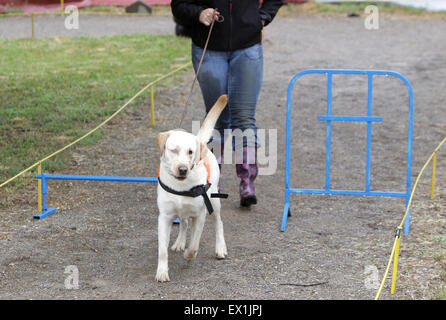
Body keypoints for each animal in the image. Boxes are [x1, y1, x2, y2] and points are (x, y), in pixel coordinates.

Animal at [155, 94, 228, 282]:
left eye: (190, 152)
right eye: (173, 150)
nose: (183, 169)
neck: (181, 185)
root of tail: (201, 141)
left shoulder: (200, 215)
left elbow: (194, 244)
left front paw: (189, 256)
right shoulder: (164, 217)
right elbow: (162, 250)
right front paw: (162, 272)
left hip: (214, 202)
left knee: (219, 223)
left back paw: (220, 247)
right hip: (181, 212)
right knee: (184, 224)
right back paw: (180, 242)